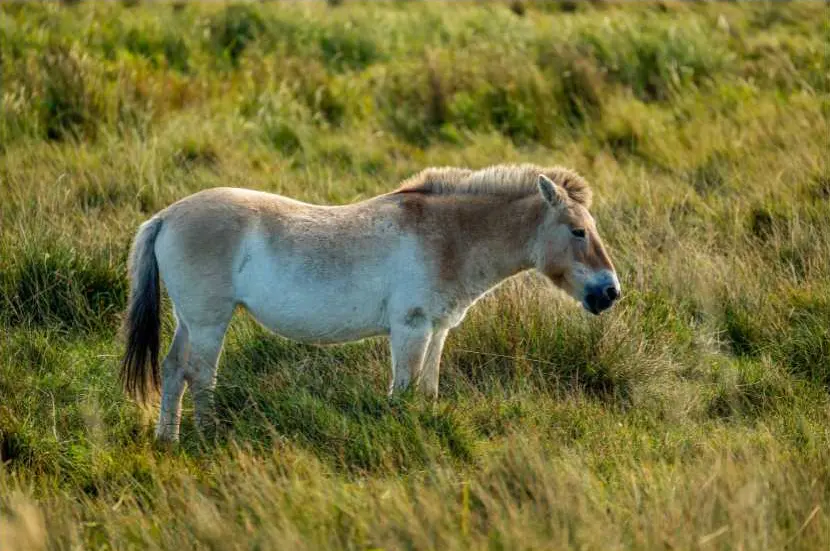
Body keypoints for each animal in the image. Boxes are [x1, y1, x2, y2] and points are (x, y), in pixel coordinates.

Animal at [120, 164, 621, 441]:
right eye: (578, 231)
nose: (610, 292)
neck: (448, 237)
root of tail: (167, 216)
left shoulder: (437, 330)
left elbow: (427, 390)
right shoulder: (411, 330)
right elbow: (403, 391)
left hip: (191, 320)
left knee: (173, 371)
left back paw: (168, 440)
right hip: (210, 322)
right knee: (200, 376)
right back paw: (207, 437)